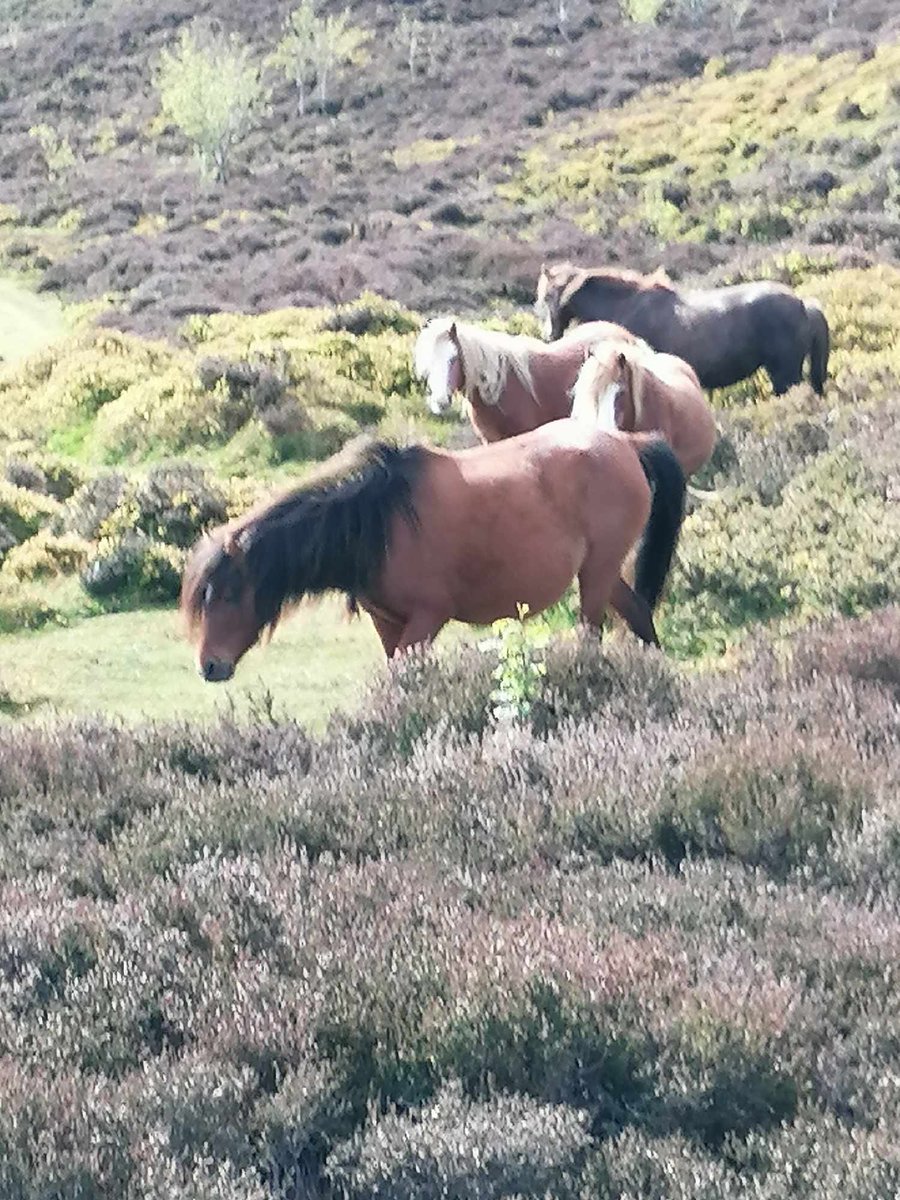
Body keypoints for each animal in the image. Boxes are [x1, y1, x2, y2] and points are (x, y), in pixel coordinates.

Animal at [187, 427, 686, 681]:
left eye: (228, 595)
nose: (210, 666)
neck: (381, 520)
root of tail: (628, 443)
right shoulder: (387, 622)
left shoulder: (428, 617)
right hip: (603, 571)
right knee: (638, 614)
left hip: (596, 574)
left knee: (591, 633)